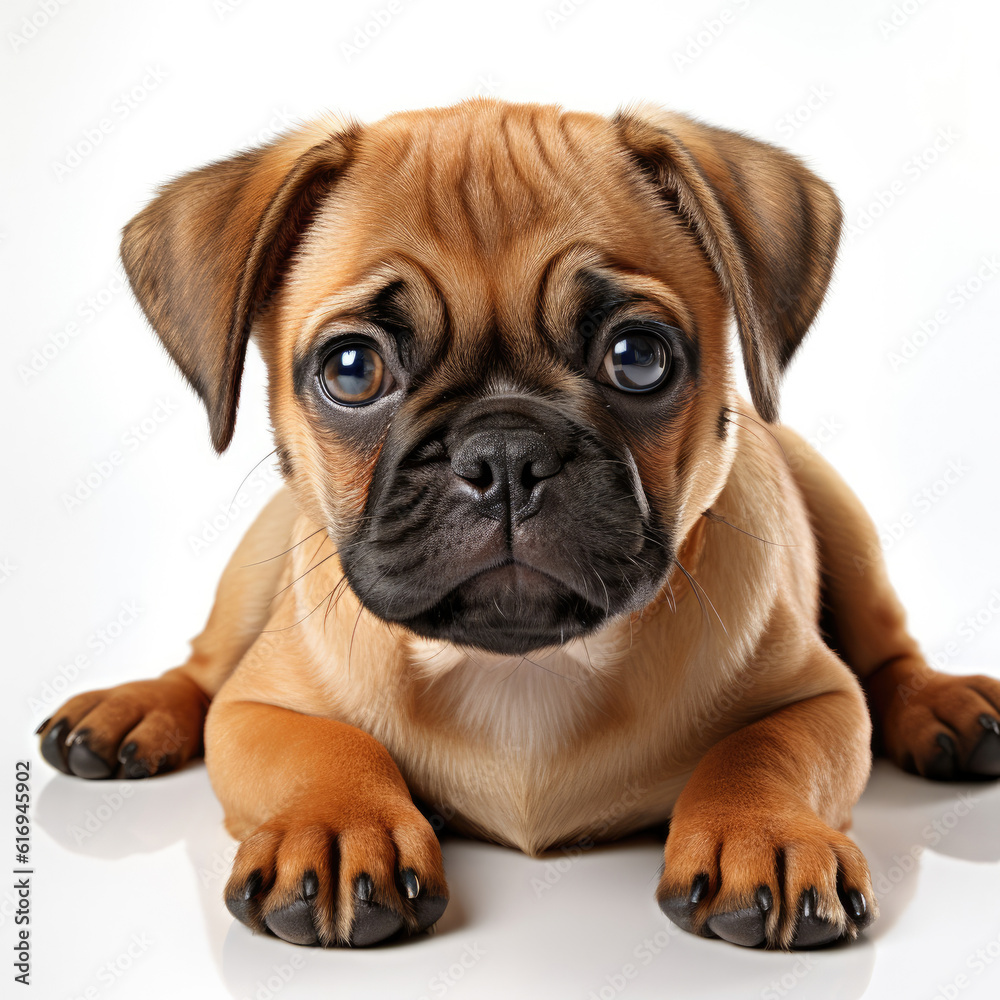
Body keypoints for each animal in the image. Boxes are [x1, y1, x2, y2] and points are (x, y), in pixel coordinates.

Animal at [37, 101, 1000, 952]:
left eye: (638, 357)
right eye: (351, 369)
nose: (505, 454)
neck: (522, 670)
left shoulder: (820, 700)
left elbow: (765, 749)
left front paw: (768, 834)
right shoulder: (256, 708)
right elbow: (315, 746)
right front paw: (336, 827)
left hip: (841, 516)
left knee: (890, 649)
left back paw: (947, 704)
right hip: (253, 568)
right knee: (201, 666)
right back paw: (131, 711)